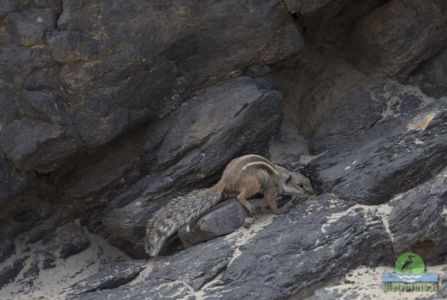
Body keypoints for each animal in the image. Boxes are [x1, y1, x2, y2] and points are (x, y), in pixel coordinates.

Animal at [145, 155, 314, 255]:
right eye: (300, 185)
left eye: (308, 181)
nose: (312, 192)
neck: (281, 176)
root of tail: (225, 179)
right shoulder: (271, 188)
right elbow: (270, 201)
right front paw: (280, 209)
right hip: (255, 180)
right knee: (240, 196)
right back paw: (249, 205)